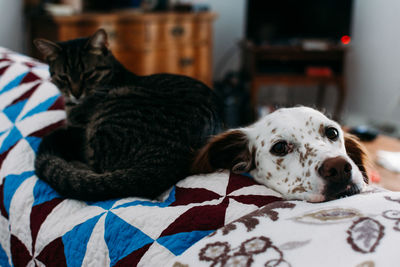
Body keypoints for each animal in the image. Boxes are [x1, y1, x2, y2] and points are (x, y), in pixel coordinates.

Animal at [33, 29, 223, 201]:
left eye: (89, 74)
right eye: (63, 77)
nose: (76, 93)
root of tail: (168, 157)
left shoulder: (79, 128)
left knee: (95, 167)